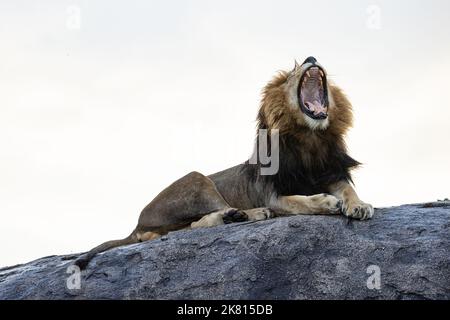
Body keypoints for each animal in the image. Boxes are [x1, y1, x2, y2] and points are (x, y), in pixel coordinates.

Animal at [75, 56, 374, 268]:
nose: (312, 57)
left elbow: (348, 189)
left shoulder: (331, 173)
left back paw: (235, 216)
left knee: (187, 228)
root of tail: (137, 224)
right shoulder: (272, 194)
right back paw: (249, 214)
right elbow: (299, 201)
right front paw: (326, 202)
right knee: (194, 225)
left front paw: (359, 205)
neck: (310, 139)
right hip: (197, 179)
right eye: (292, 72)